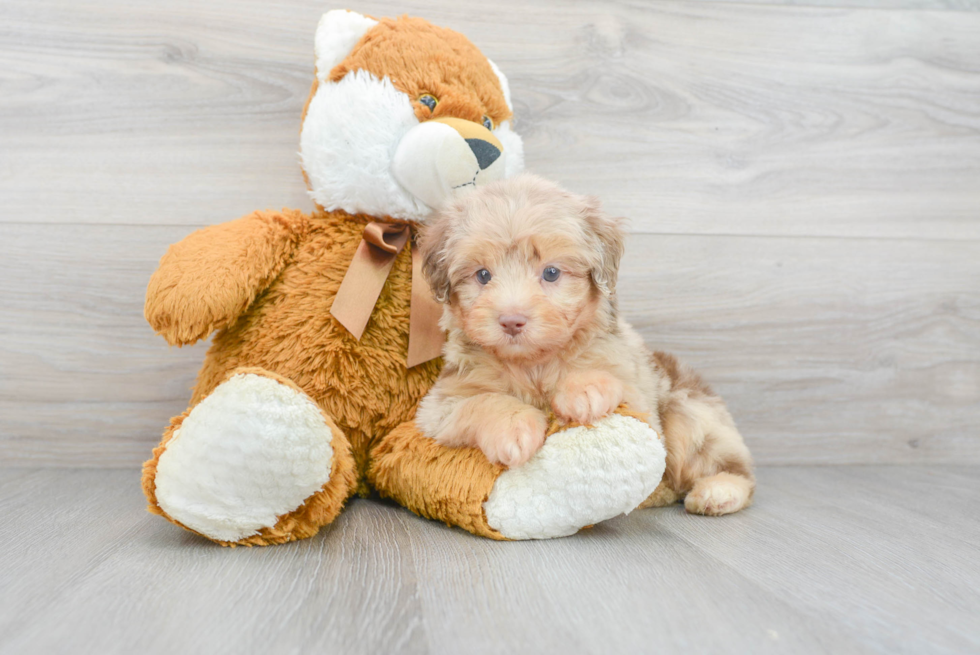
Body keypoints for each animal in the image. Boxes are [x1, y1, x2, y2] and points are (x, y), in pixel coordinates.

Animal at [418, 174, 756, 516]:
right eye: (483, 275)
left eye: (551, 273)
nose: (512, 321)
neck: (534, 363)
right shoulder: (439, 406)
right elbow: (483, 401)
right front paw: (514, 428)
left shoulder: (638, 395)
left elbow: (607, 378)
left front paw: (583, 390)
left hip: (689, 415)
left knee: (734, 470)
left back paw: (718, 491)